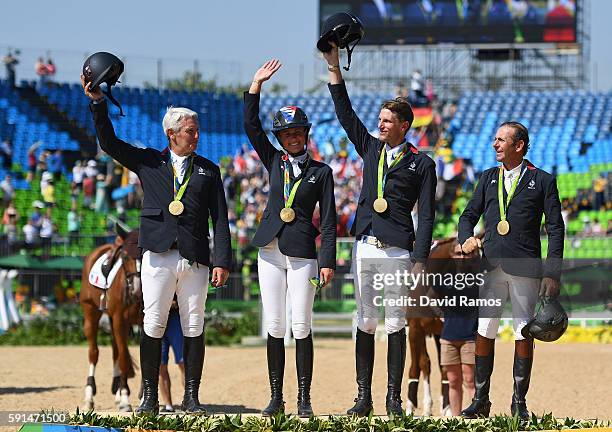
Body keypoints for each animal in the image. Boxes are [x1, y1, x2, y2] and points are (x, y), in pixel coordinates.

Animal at [80, 230, 143, 412]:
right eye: (126, 257)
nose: (138, 289)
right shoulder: (119, 321)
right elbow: (123, 358)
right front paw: (125, 399)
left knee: (116, 350)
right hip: (91, 313)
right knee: (94, 353)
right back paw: (89, 397)